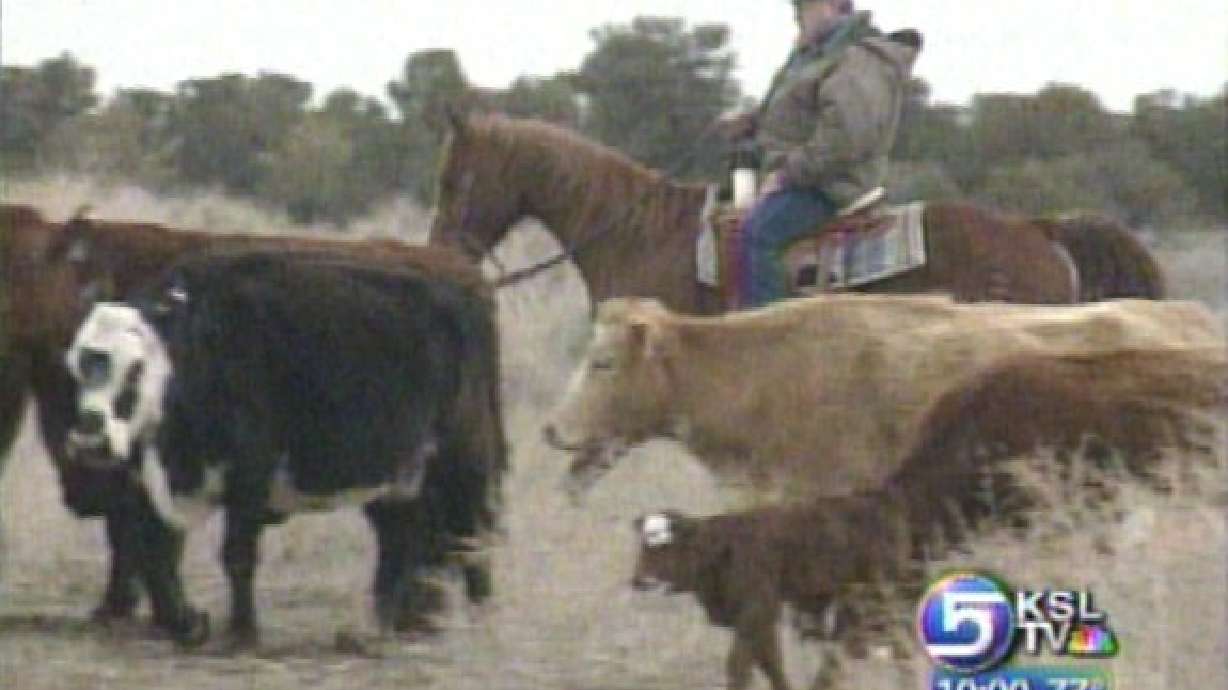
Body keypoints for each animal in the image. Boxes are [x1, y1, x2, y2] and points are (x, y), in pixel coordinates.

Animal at [0, 204, 500, 635]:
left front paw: (235, 630)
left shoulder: (247, 472)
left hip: (461, 461)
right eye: (78, 362)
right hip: (398, 477)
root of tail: (463, 287)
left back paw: (471, 620)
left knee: (469, 531)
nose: (90, 439)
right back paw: (389, 623)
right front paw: (180, 622)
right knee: (405, 537)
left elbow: (228, 552)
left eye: (136, 367)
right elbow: (154, 546)